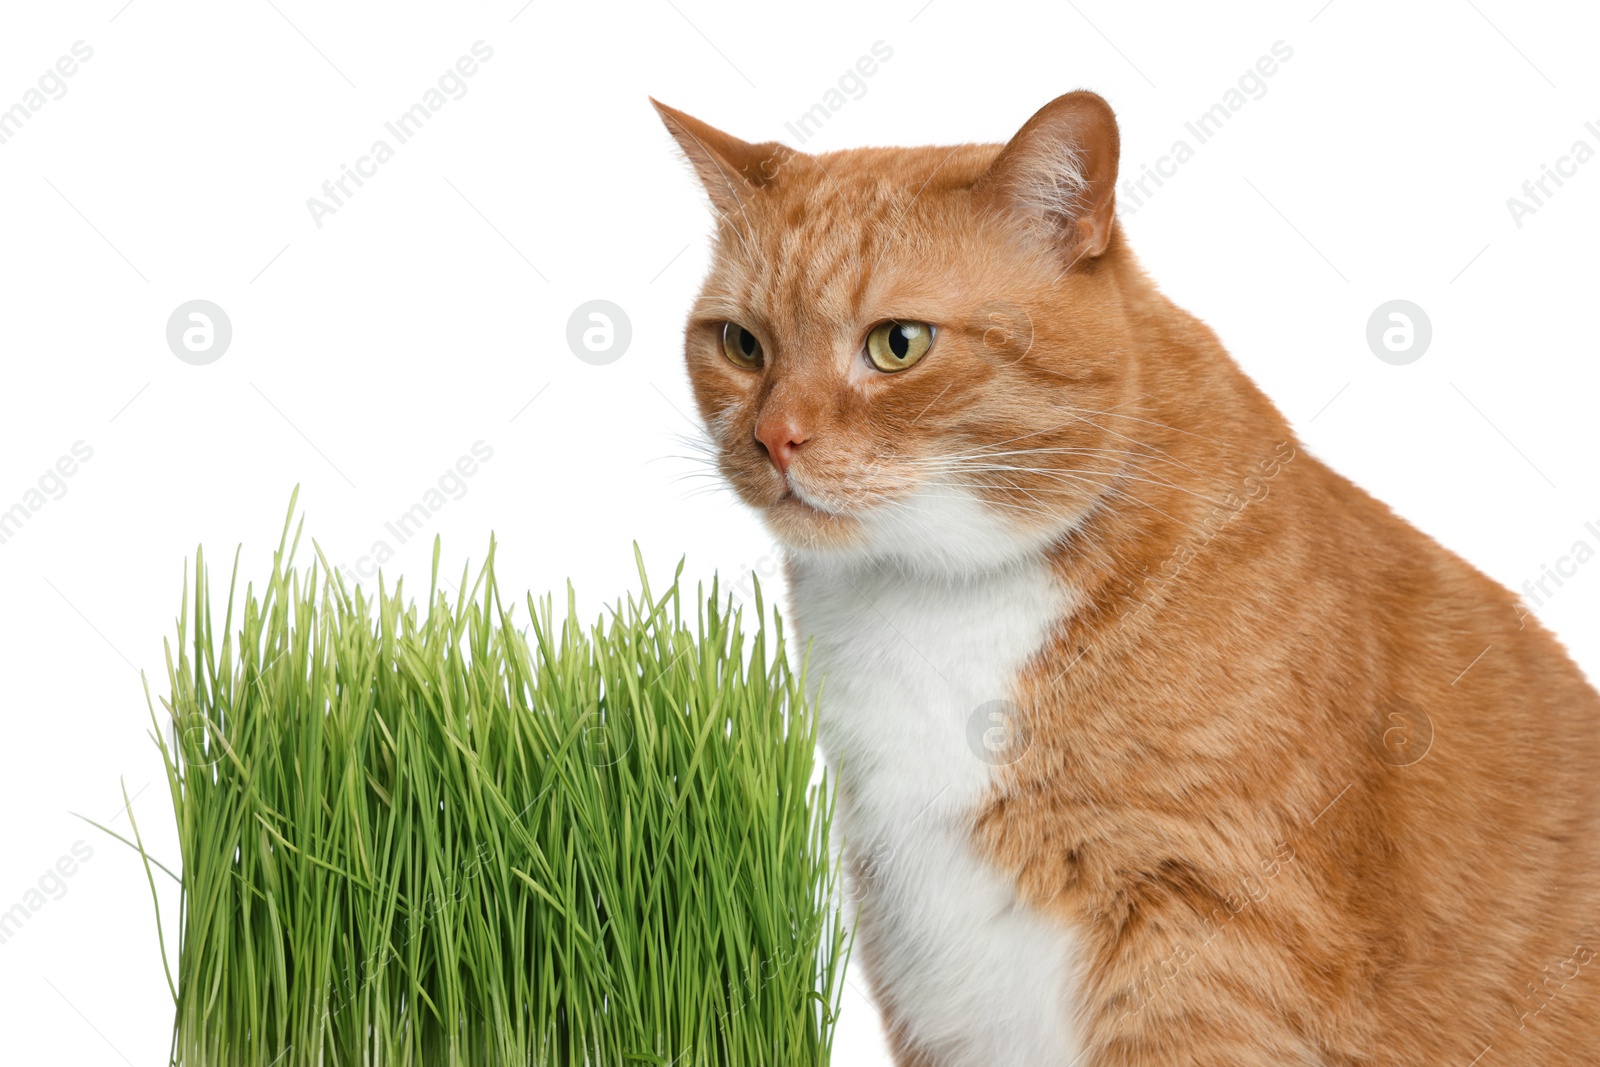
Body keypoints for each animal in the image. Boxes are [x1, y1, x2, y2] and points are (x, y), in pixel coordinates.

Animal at [652, 93, 1600, 1067]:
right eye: (742, 344)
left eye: (898, 345)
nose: (773, 439)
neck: (935, 599)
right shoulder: (917, 935)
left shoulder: (1206, 938)